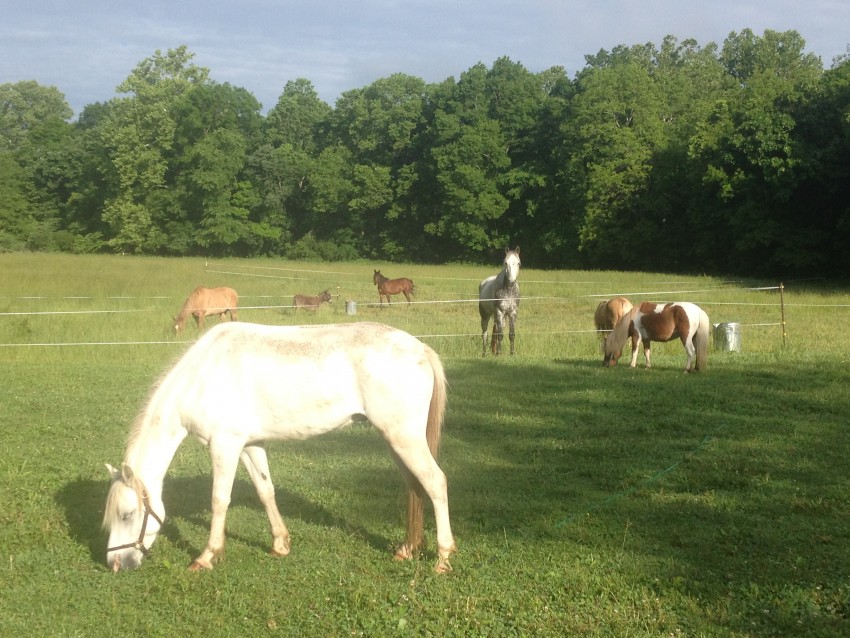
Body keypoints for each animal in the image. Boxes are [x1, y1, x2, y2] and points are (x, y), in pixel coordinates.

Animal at [102, 322, 454, 576]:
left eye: (127, 514)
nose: (114, 564)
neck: (201, 376)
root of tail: (420, 348)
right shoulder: (250, 445)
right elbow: (265, 491)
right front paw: (280, 544)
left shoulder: (225, 445)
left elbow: (219, 500)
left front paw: (207, 556)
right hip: (396, 440)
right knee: (415, 486)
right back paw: (407, 549)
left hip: (404, 438)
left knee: (435, 482)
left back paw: (443, 558)